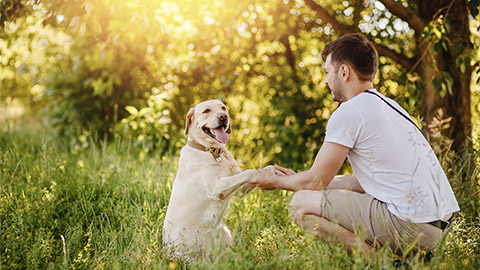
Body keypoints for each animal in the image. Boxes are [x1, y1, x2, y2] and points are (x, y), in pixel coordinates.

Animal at [163, 99, 270, 262]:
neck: (214, 152)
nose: (223, 116)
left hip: (224, 233)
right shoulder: (217, 187)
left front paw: (274, 171)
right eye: (206, 111)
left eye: (223, 108)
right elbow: (250, 172)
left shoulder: (239, 189)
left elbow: (253, 173)